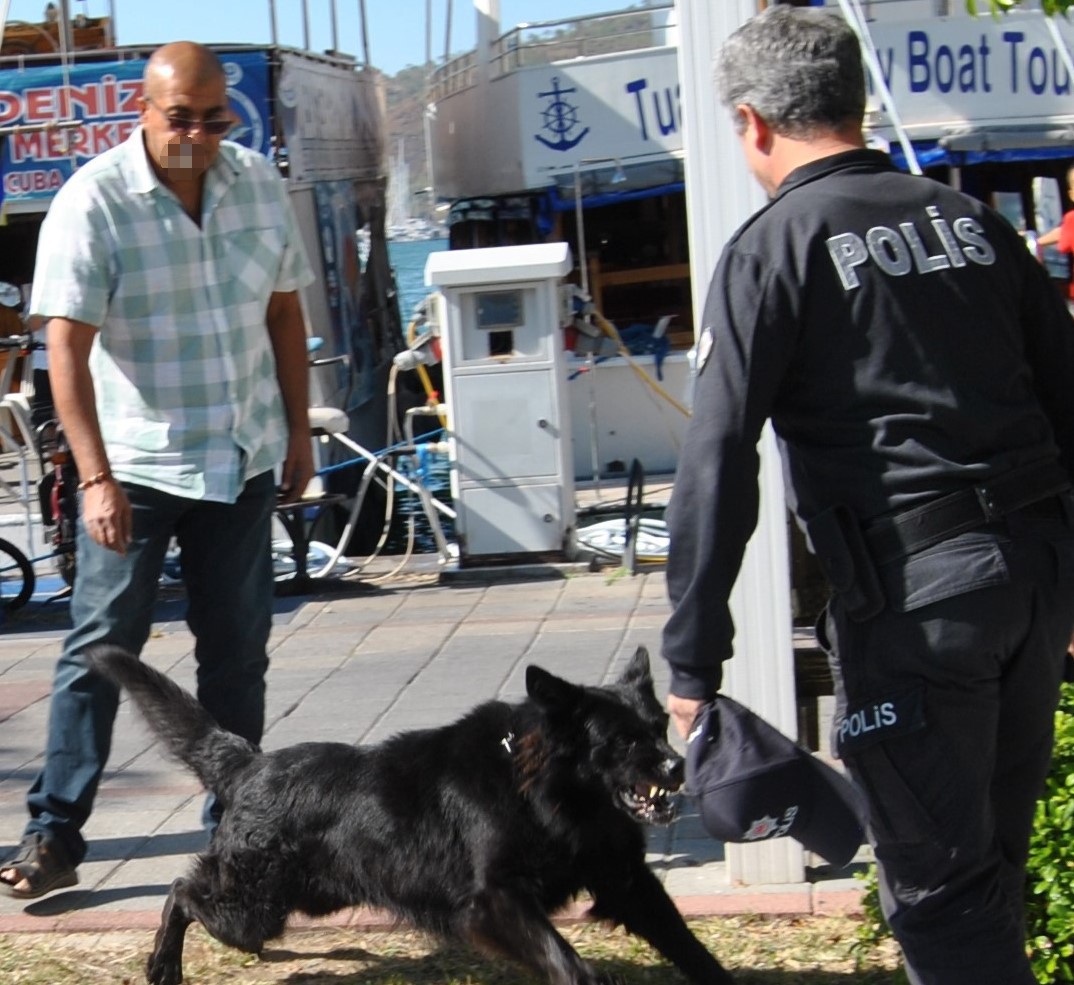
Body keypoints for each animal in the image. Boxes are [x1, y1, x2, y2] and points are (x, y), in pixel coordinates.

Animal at [90, 644, 738, 983]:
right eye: (624, 742)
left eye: (659, 727)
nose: (678, 767)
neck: (543, 793)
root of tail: (250, 763)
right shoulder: (494, 902)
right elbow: (568, 961)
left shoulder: (626, 881)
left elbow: (687, 944)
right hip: (254, 908)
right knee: (182, 891)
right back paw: (162, 964)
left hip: (299, 899)